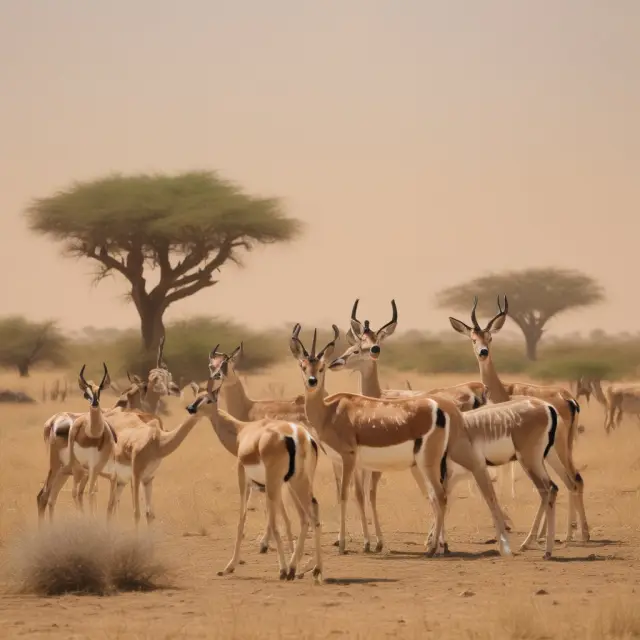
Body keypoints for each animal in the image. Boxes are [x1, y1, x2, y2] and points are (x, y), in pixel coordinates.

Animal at [188, 349, 324, 583]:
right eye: (196, 396)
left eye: (208, 399)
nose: (190, 408)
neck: (242, 432)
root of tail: (298, 436)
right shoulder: (270, 486)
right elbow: (282, 520)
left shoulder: (246, 479)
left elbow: (244, 519)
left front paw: (229, 566)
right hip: (298, 482)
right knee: (310, 515)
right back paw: (310, 568)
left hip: (281, 484)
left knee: (297, 518)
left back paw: (290, 570)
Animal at [290, 323, 514, 558]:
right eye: (303, 366)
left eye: (321, 367)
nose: (312, 381)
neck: (330, 411)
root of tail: (442, 408)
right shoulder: (349, 463)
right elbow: (360, 495)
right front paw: (368, 544)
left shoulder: (349, 458)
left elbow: (346, 495)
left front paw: (346, 545)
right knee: (460, 488)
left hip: (430, 463)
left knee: (443, 495)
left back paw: (436, 548)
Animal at [449, 295, 589, 544]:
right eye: (474, 338)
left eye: (490, 337)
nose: (483, 352)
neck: (504, 390)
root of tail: (568, 398)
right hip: (560, 449)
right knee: (573, 480)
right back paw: (574, 533)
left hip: (555, 450)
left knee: (566, 482)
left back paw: (571, 535)